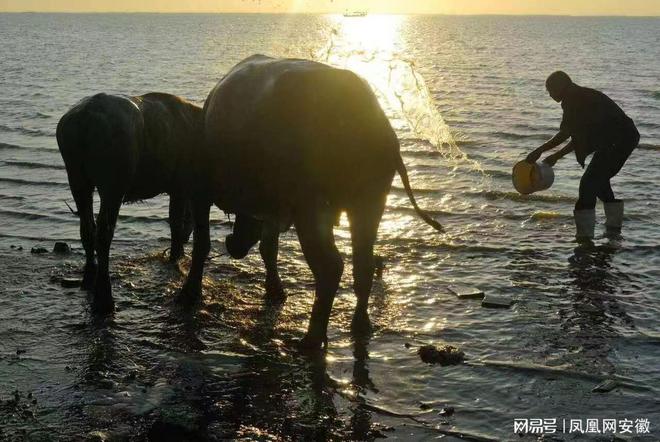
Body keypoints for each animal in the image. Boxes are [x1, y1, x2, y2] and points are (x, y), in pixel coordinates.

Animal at [56, 93, 201, 312]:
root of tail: (86, 117)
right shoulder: (181, 187)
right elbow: (175, 223)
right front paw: (177, 254)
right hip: (113, 187)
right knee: (103, 234)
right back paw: (105, 298)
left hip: (78, 180)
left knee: (87, 229)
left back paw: (89, 277)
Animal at [182, 56, 444, 348]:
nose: (232, 243)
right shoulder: (273, 209)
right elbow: (268, 247)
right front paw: (275, 290)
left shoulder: (200, 191)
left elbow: (202, 245)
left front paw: (189, 293)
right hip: (370, 201)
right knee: (362, 265)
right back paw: (360, 324)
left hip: (312, 209)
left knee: (331, 267)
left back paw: (311, 339)